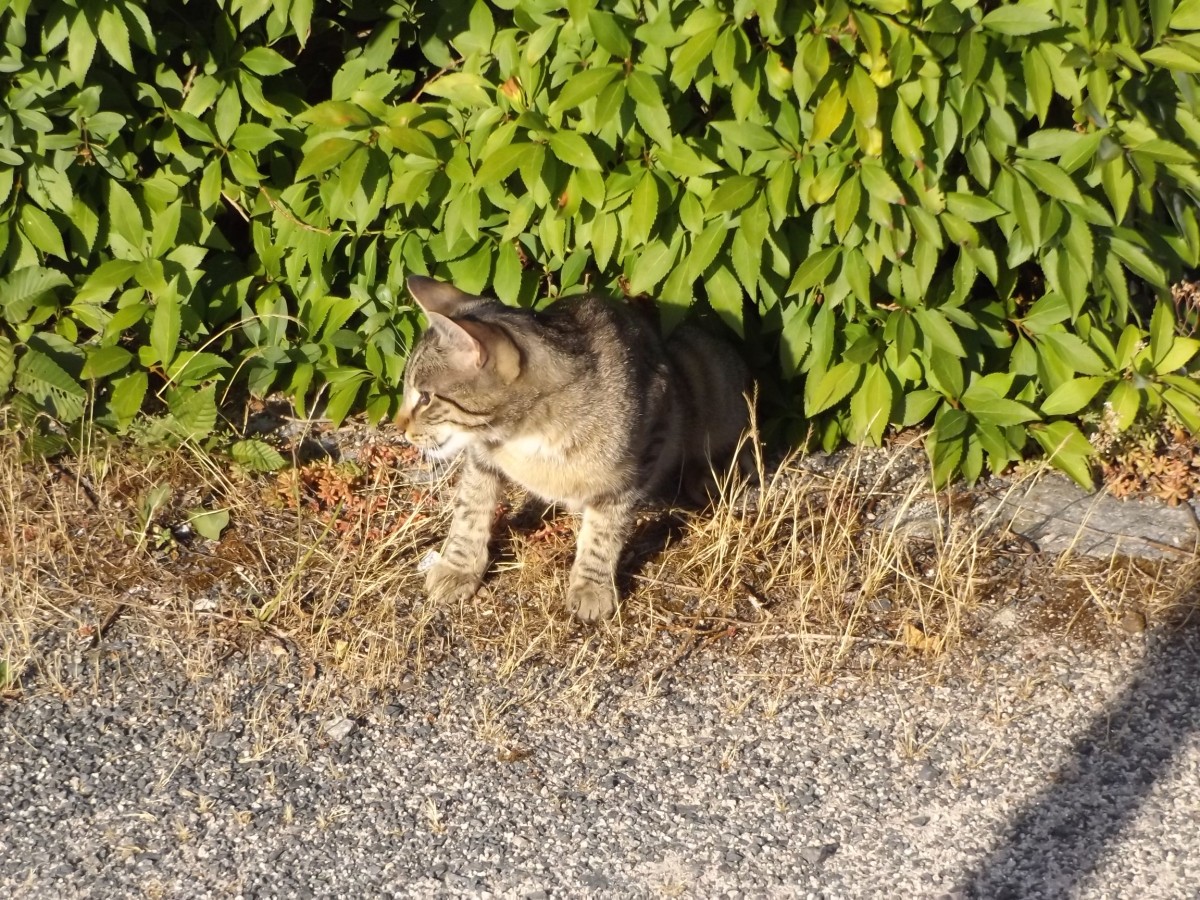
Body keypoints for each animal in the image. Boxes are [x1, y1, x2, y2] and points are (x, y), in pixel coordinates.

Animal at [393, 274, 748, 624]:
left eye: (425, 397)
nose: (399, 426)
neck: (525, 437)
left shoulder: (638, 460)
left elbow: (603, 532)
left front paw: (591, 586)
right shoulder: (482, 457)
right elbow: (470, 511)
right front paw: (459, 568)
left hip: (705, 370)